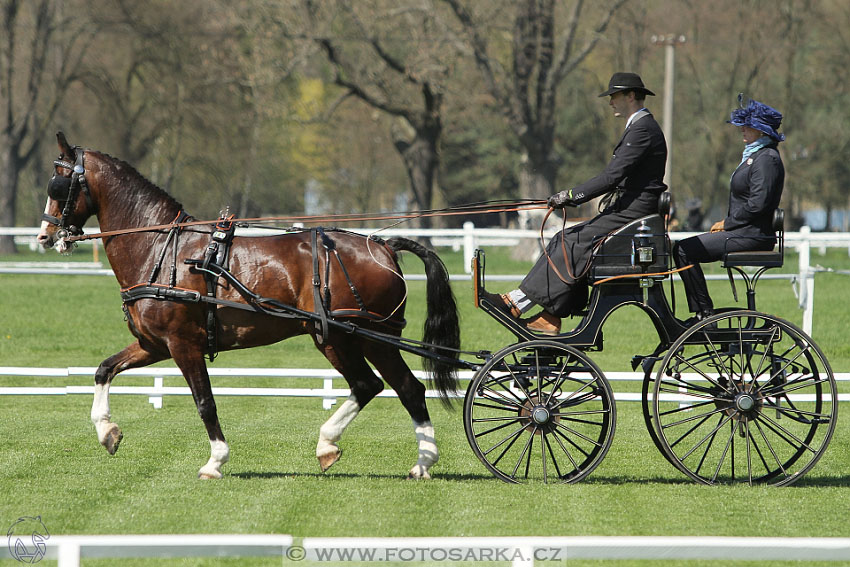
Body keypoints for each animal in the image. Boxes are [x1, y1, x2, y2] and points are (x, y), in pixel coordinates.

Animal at [36, 132, 460, 480]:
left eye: (58, 182)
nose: (44, 235)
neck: (161, 250)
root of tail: (382, 245)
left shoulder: (183, 344)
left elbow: (205, 402)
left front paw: (215, 461)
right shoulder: (154, 344)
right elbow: (104, 369)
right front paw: (107, 431)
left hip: (358, 337)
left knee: (389, 386)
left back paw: (386, 455)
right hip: (349, 338)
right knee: (386, 386)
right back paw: (375, 454)